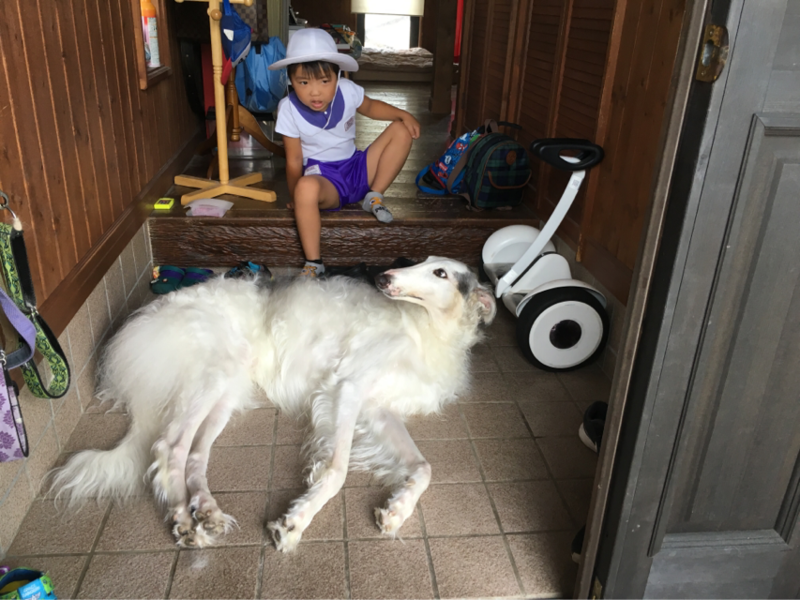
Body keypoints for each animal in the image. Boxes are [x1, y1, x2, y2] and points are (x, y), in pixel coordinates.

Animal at [49, 257, 496, 550]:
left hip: (226, 393)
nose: (383, 276)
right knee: (169, 447)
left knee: (193, 456)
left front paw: (397, 511)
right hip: (211, 376)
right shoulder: (349, 385)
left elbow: (423, 468)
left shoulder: (378, 408)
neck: (424, 331)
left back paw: (205, 512)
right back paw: (183, 520)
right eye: (422, 261)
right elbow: (335, 471)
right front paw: (295, 522)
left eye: (439, 272)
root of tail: (142, 322)